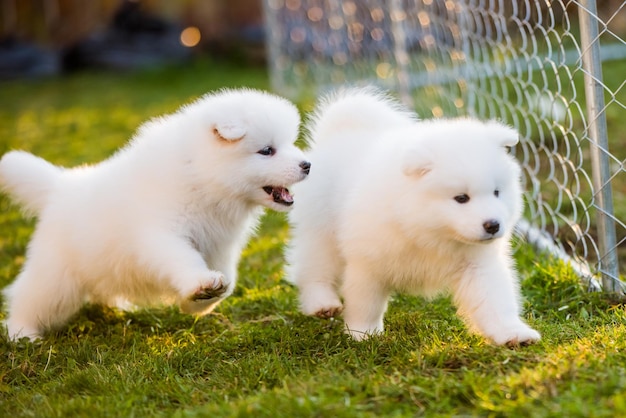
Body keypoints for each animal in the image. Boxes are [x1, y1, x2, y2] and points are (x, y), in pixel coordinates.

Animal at [0, 87, 310, 340]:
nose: (307, 165)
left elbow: (228, 279)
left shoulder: (220, 246)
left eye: (289, 144)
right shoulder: (161, 235)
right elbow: (183, 258)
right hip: (55, 279)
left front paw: (199, 300)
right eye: (267, 150)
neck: (201, 178)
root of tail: (60, 187)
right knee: (27, 298)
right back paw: (22, 334)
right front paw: (201, 284)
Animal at [286, 89, 540, 346]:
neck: (426, 231)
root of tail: (341, 134)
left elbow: (495, 300)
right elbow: (365, 303)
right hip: (321, 229)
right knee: (314, 266)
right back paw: (321, 303)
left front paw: (512, 333)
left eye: (497, 192)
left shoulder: (478, 264)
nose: (493, 225)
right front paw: (363, 333)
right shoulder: (368, 263)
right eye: (461, 198)